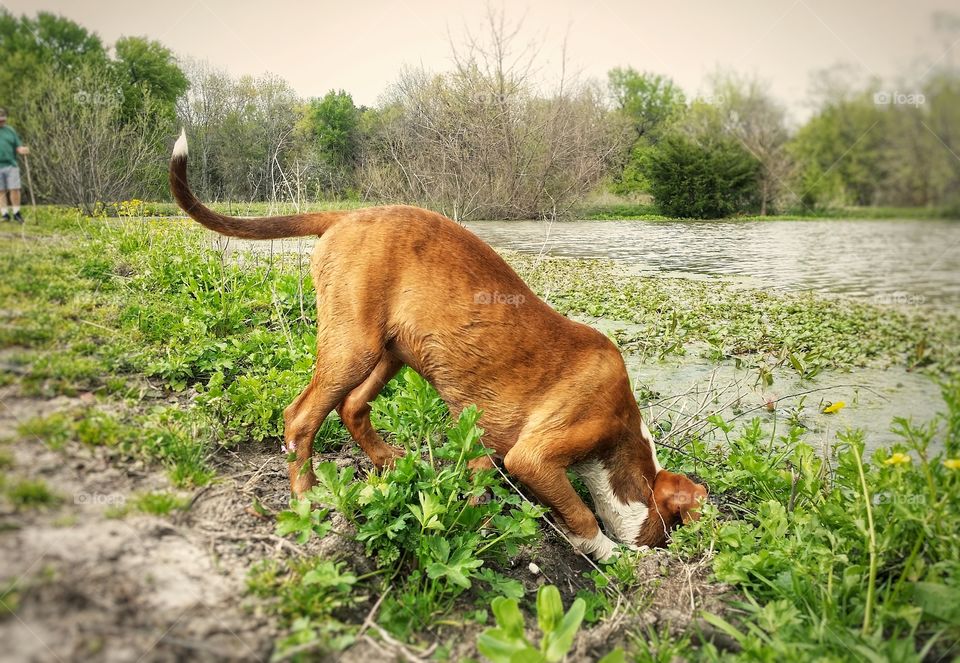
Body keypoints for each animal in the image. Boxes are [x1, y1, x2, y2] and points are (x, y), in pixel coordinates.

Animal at [169, 130, 704, 560]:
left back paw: (391, 464)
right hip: (353, 347)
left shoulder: (486, 443)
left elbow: (478, 484)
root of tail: (347, 215)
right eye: (668, 532)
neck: (623, 436)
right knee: (301, 419)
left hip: (391, 354)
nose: (663, 549)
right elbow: (583, 515)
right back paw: (308, 499)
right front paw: (614, 555)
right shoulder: (533, 456)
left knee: (353, 408)